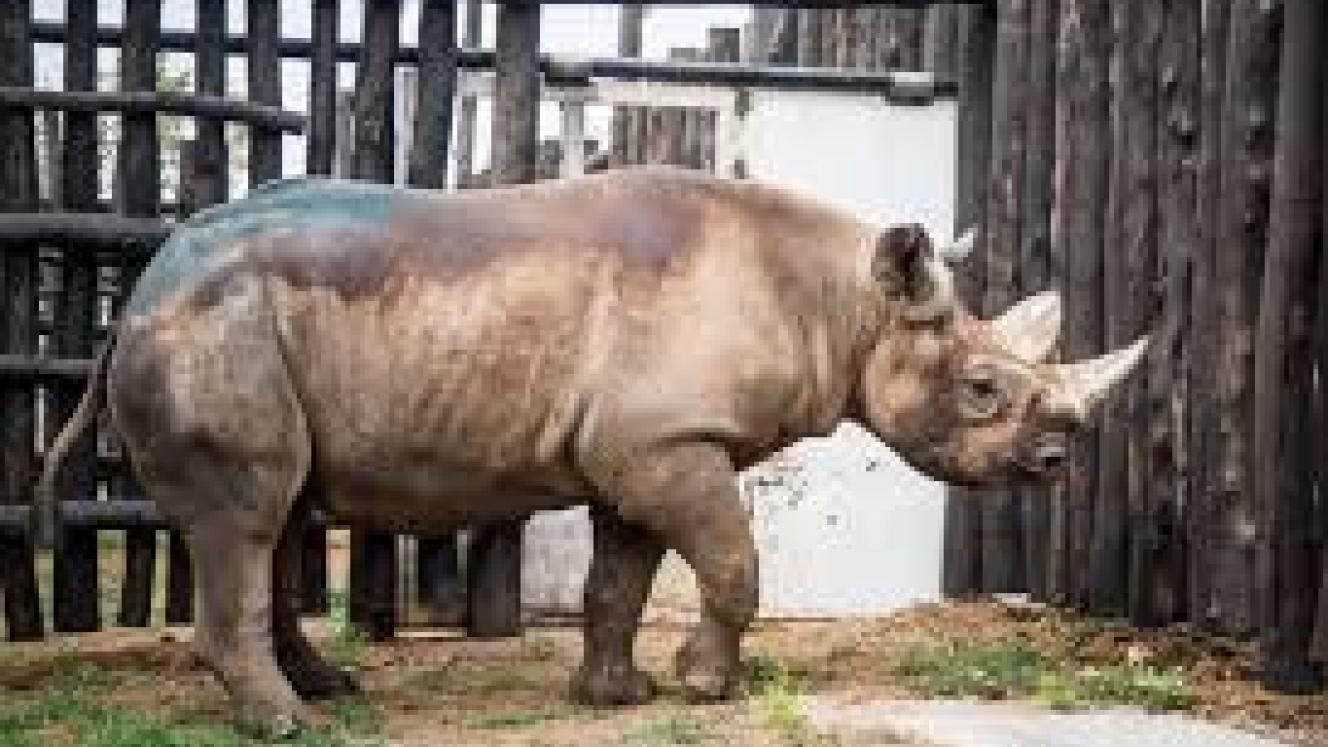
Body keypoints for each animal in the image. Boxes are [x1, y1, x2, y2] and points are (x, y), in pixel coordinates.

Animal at [40, 168, 1146, 734]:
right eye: (982, 389)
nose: (1057, 463)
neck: (846, 303)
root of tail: (135, 292)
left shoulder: (641, 443)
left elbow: (621, 576)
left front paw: (618, 695)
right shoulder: (668, 439)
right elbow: (732, 561)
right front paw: (706, 689)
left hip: (233, 325)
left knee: (278, 514)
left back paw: (326, 690)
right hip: (211, 327)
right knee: (247, 515)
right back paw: (293, 726)